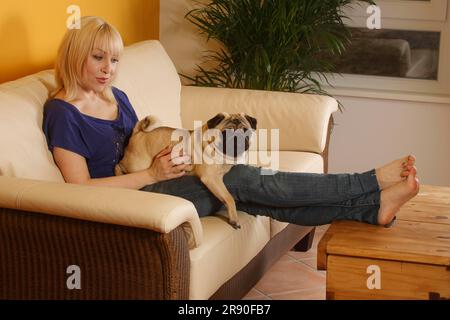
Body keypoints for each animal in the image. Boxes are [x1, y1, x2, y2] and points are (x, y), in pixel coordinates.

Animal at [114, 112, 258, 230]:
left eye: (246, 132)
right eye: (226, 133)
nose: (238, 138)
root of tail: (138, 132)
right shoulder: (211, 178)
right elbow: (229, 198)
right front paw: (234, 218)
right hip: (137, 165)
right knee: (118, 165)